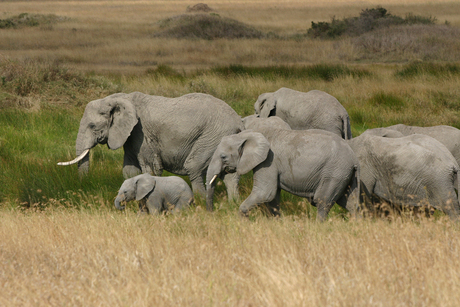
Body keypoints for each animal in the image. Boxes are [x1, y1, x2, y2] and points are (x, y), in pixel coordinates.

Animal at [58, 91, 244, 199]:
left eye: (92, 126)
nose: (82, 186)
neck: (120, 98)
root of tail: (238, 121)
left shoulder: (142, 133)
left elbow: (151, 167)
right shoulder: (131, 135)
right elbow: (129, 170)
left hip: (213, 135)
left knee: (194, 166)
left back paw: (200, 200)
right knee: (229, 173)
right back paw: (233, 203)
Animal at [207, 129, 362, 223]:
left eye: (223, 157)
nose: (211, 214)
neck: (249, 134)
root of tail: (354, 158)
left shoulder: (268, 162)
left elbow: (265, 193)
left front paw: (244, 222)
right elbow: (272, 198)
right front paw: (278, 223)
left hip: (334, 172)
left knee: (322, 201)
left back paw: (318, 226)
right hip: (345, 174)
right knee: (349, 202)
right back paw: (355, 224)